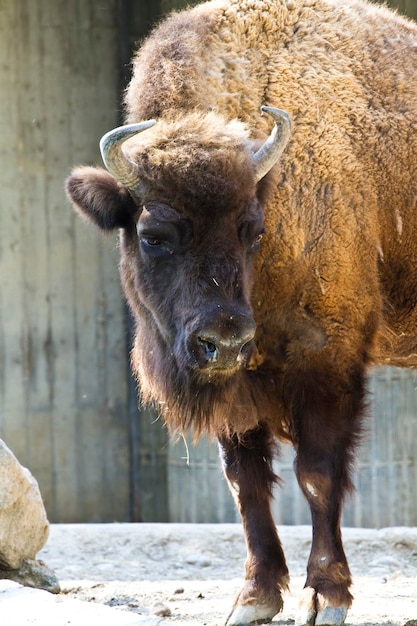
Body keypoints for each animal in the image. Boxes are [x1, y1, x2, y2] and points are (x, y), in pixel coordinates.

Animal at [66, 0, 417, 620]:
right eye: (153, 235)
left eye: (254, 229)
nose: (223, 339)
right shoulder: (238, 387)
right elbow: (245, 481)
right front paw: (254, 598)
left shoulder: (326, 362)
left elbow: (317, 475)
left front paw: (326, 598)